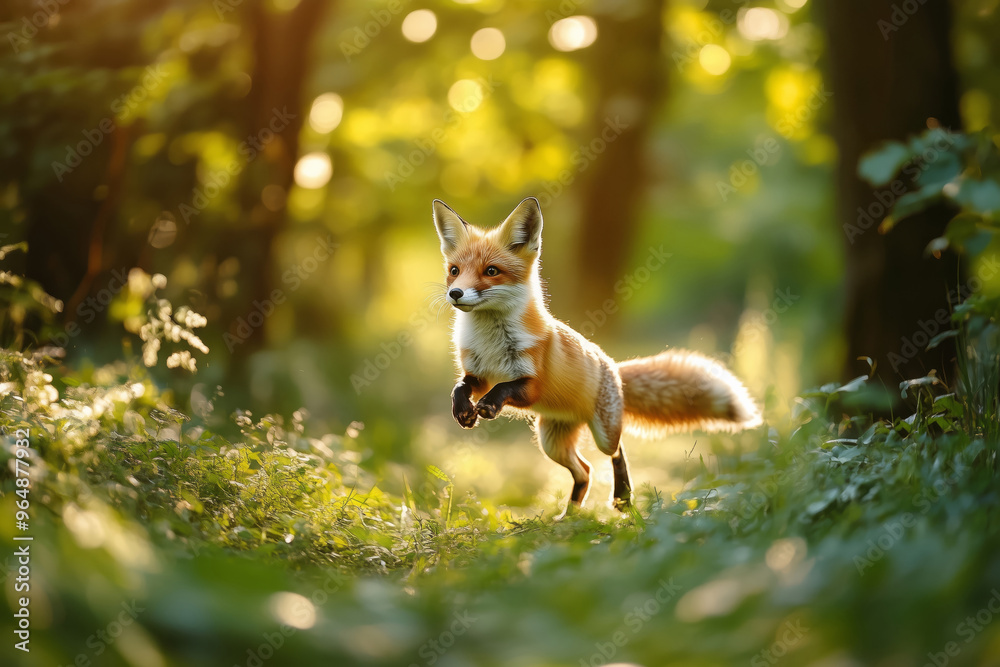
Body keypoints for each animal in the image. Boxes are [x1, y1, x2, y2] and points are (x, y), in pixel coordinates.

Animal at [434, 196, 762, 517]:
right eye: (454, 270)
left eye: (491, 271)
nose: (455, 293)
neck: (492, 341)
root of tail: (613, 366)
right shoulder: (478, 374)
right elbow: (460, 387)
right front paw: (462, 409)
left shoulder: (531, 382)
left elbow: (504, 387)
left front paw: (489, 405)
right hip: (551, 442)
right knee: (586, 471)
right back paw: (570, 517)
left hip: (600, 434)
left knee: (616, 451)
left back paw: (622, 498)